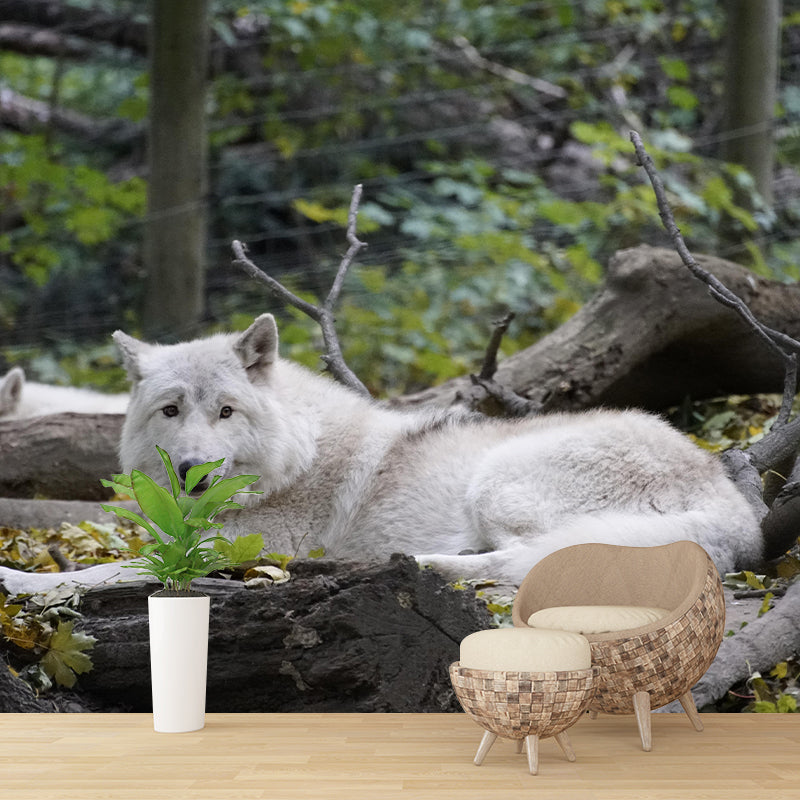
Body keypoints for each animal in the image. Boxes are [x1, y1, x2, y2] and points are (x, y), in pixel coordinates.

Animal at [103, 313, 761, 587]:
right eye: (171, 411)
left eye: (226, 412)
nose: (192, 473)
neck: (301, 453)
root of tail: (735, 511)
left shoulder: (236, 547)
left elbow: (113, 568)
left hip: (496, 481)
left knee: (522, 560)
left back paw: (406, 564)